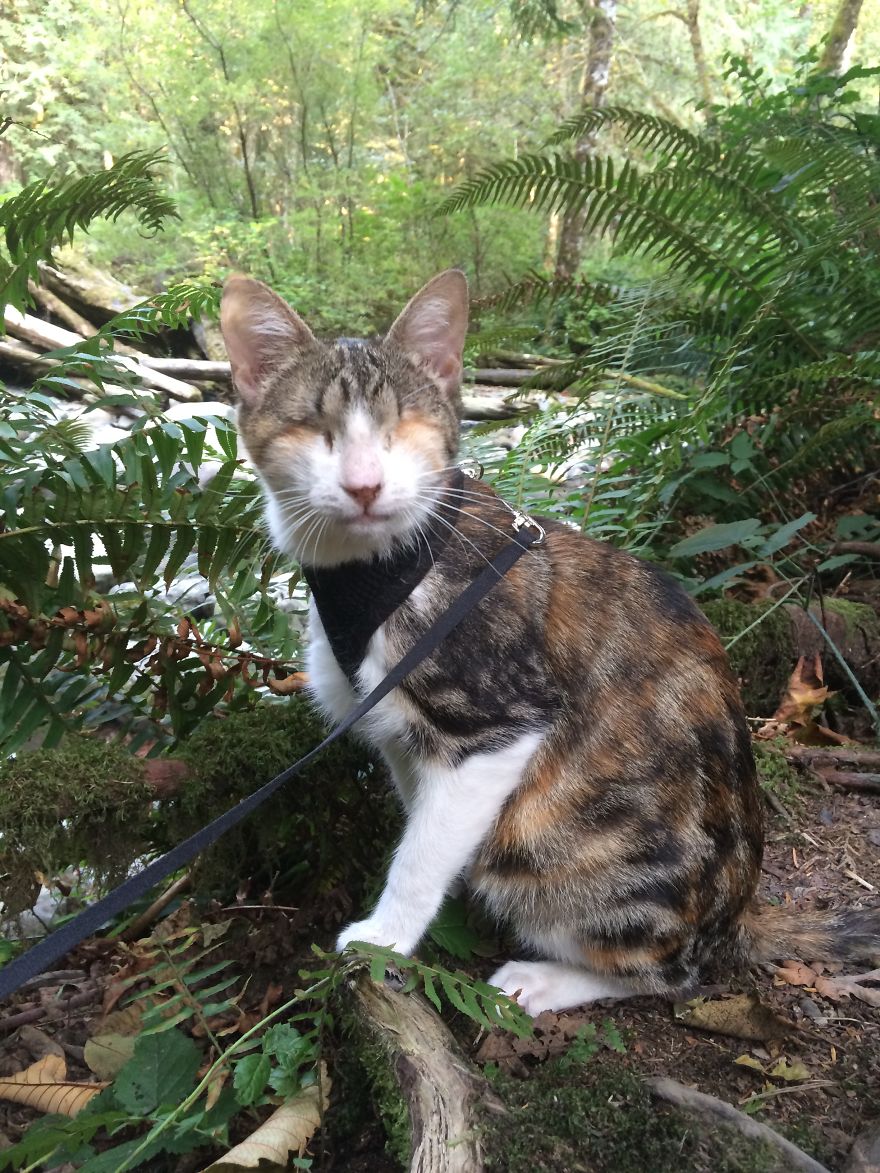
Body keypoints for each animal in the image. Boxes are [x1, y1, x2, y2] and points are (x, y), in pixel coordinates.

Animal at [220, 268, 880, 1018]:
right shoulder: (400, 735)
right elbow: (426, 818)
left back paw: (549, 976)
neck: (378, 571)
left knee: (671, 972)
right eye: (313, 427)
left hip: (569, 851)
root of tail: (737, 914)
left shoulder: (499, 723)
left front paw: (386, 935)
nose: (364, 485)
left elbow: (422, 853)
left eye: (402, 427)